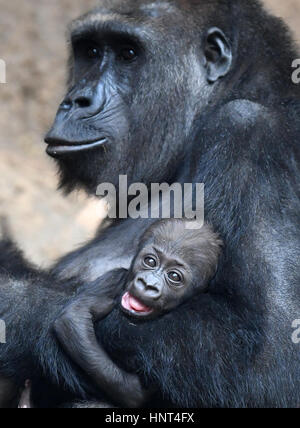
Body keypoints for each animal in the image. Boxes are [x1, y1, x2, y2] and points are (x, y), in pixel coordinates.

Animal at [53, 221, 223, 408]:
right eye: (150, 261)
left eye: (174, 276)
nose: (148, 284)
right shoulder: (115, 277)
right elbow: (73, 316)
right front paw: (131, 389)